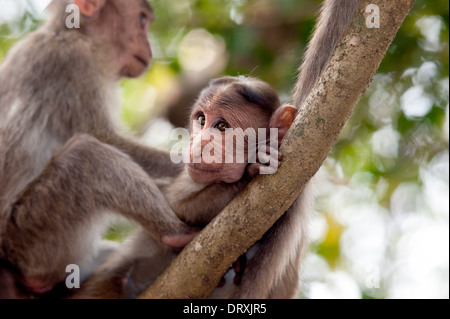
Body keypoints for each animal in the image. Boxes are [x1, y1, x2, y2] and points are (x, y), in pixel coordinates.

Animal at [0, 0, 199, 298]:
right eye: (142, 20)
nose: (148, 46)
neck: (73, 34)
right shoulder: (73, 61)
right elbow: (103, 136)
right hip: (28, 234)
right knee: (86, 156)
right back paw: (176, 234)